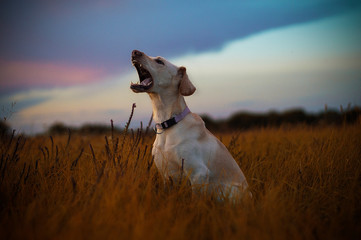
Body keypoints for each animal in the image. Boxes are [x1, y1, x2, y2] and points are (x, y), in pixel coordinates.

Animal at [130, 50, 250, 199]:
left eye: (159, 61)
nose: (134, 52)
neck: (168, 124)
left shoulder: (198, 173)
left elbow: (195, 200)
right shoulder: (166, 176)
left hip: (228, 190)